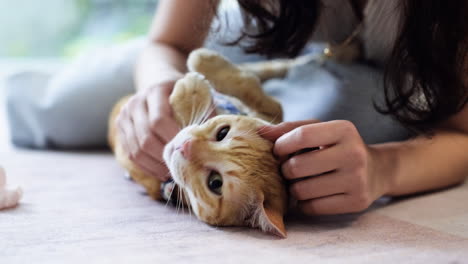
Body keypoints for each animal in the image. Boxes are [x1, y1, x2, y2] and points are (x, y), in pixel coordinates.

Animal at [108, 48, 308, 237]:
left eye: (215, 182)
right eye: (223, 133)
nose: (185, 146)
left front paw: (189, 88)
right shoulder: (269, 113)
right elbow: (263, 96)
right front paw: (205, 65)